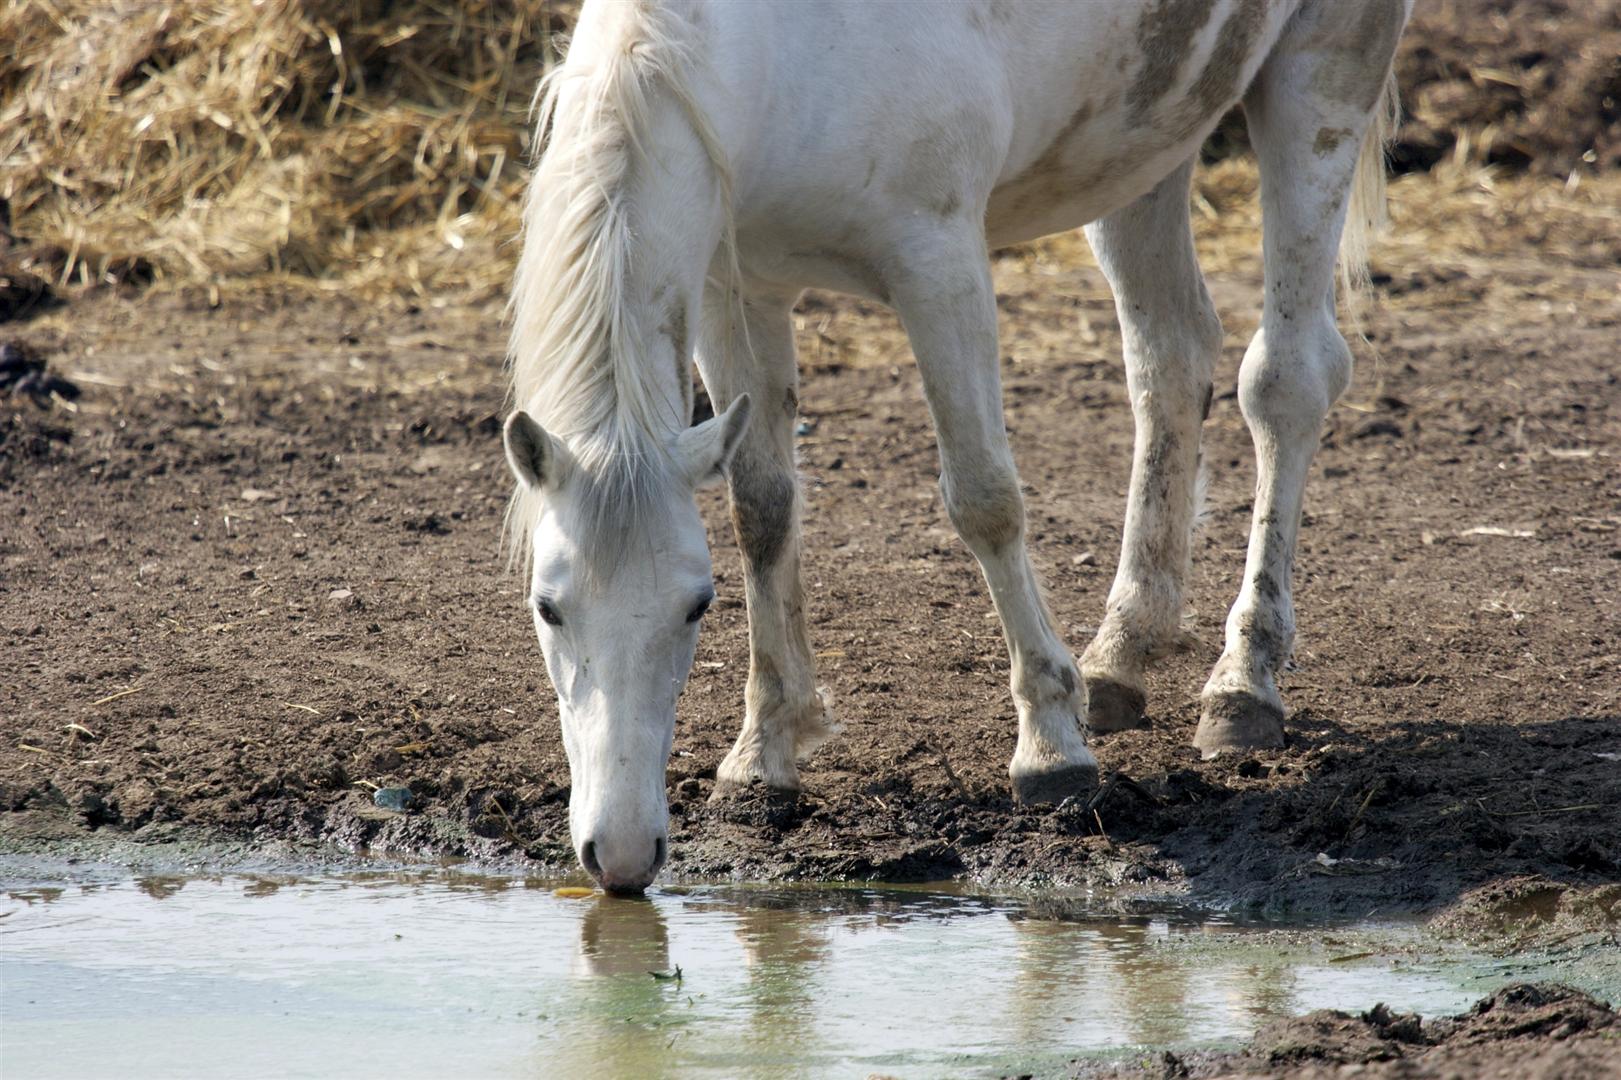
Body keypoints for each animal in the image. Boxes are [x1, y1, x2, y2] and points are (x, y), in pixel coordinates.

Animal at [502, 0, 1407, 888]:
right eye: (546, 607)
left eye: (695, 607)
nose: (620, 857)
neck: (773, 53)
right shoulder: (740, 289)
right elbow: (761, 509)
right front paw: (763, 755)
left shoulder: (937, 263)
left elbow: (984, 500)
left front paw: (1050, 746)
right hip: (1148, 135)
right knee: (1169, 359)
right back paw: (1118, 658)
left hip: (1321, 79)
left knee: (1285, 381)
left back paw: (1242, 684)